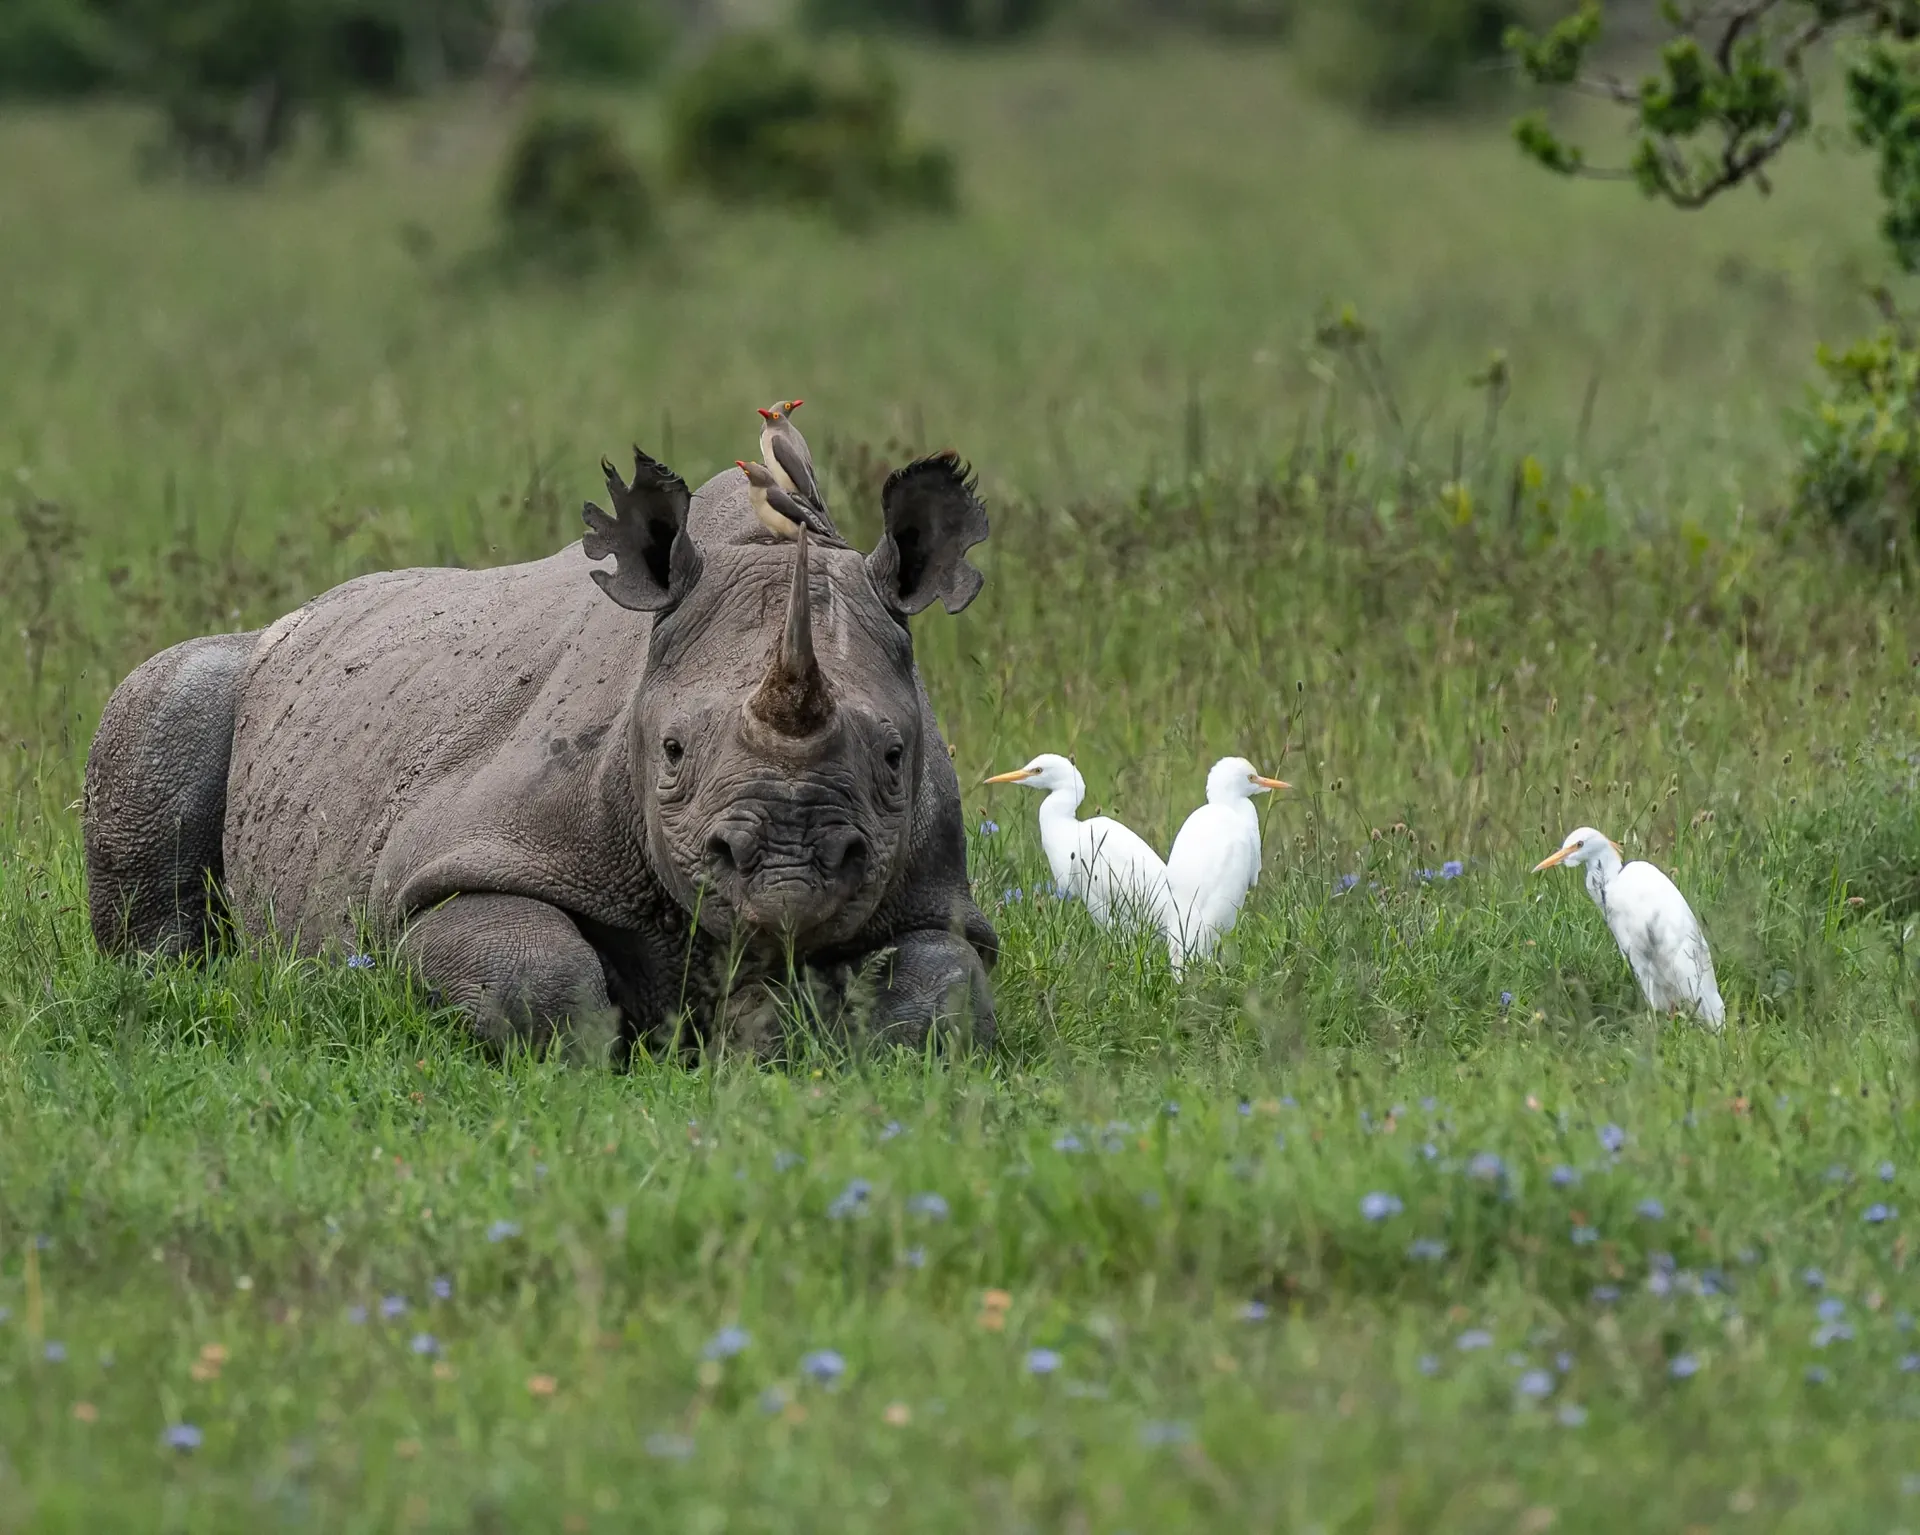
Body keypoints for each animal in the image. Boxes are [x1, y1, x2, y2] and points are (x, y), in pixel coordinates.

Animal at [81, 442, 1000, 1054]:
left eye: (893, 757)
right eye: (671, 751)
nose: (787, 875)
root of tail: (303, 610)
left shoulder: (933, 888)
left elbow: (943, 986)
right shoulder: (462, 854)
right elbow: (537, 976)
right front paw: (597, 1055)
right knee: (169, 696)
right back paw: (183, 982)